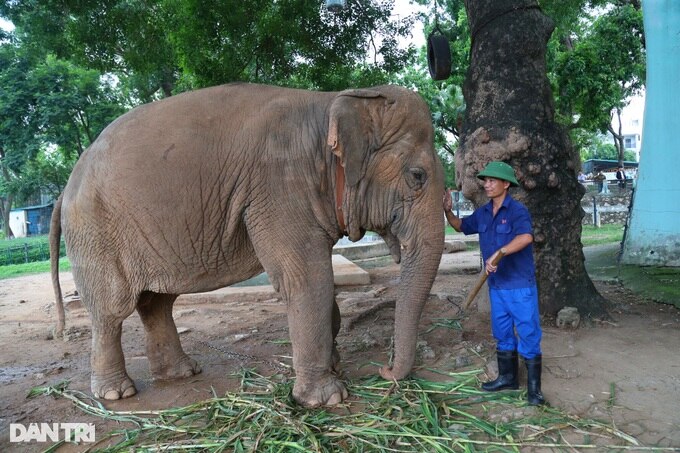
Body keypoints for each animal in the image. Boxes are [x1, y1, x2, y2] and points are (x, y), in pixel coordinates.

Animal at [51, 81, 446, 406]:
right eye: (417, 176)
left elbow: (318, 279)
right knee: (112, 310)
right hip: (96, 231)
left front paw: (335, 367)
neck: (334, 100)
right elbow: (308, 280)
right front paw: (327, 399)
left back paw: (182, 373)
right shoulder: (278, 188)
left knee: (156, 302)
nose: (385, 371)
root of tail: (66, 185)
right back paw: (117, 393)